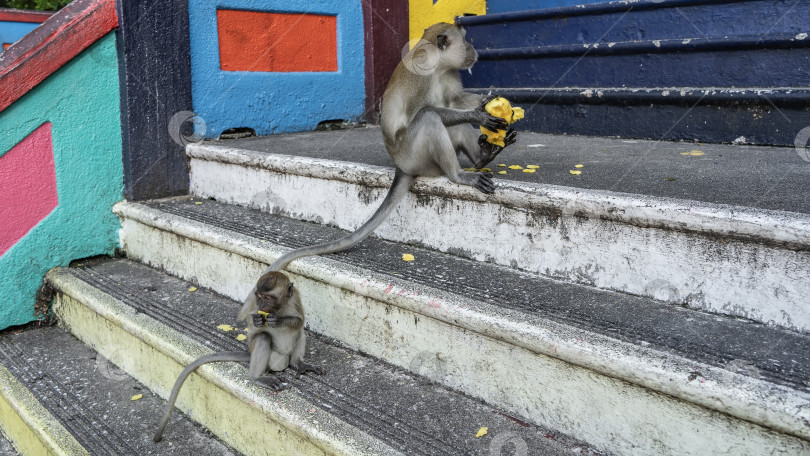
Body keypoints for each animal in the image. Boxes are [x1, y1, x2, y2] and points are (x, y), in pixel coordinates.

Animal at [153, 270, 320, 442]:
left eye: (267, 298)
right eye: (259, 297)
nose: (261, 306)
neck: (278, 308)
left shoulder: (295, 298)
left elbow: (300, 321)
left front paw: (279, 320)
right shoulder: (254, 304)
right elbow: (252, 326)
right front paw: (257, 319)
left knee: (299, 332)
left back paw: (298, 363)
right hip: (270, 357)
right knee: (262, 337)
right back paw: (258, 377)